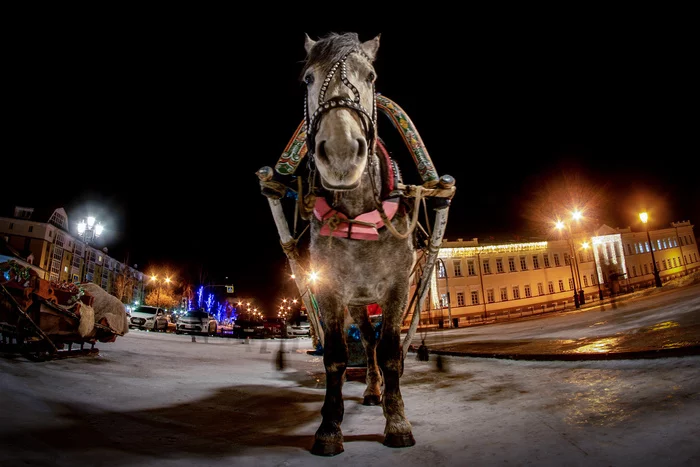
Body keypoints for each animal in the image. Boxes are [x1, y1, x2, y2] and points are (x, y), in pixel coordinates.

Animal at [300, 32, 416, 458]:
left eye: (371, 76)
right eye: (308, 78)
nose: (340, 154)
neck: (358, 215)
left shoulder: (398, 285)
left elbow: (392, 352)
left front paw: (396, 421)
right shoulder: (331, 289)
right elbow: (335, 357)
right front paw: (329, 426)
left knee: (377, 344)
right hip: (357, 303)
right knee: (366, 341)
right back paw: (370, 388)